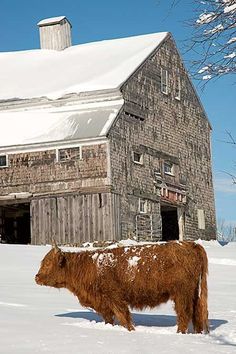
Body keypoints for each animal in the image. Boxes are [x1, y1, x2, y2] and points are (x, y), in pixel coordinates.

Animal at [35, 239, 208, 334]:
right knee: (197, 313)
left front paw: (131, 331)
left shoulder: (115, 298)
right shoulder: (104, 304)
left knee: (184, 314)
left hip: (182, 294)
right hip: (192, 293)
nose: (36, 277)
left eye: (48, 263)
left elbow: (124, 318)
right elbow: (109, 319)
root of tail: (190, 244)